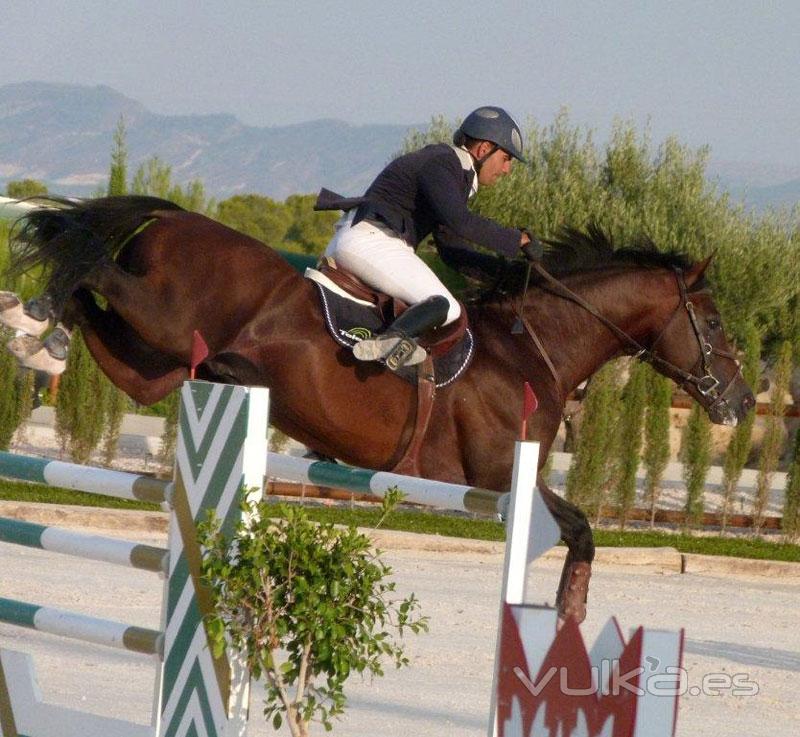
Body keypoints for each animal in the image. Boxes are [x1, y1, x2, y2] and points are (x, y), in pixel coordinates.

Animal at [0, 196, 752, 620]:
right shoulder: (501, 477)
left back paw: (45, 336)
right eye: (714, 323)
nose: (742, 401)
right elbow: (581, 527)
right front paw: (568, 608)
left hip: (153, 367)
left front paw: (570, 608)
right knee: (93, 265)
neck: (531, 347)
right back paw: (30, 313)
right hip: (159, 319)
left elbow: (582, 528)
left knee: (95, 311)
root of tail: (178, 218)